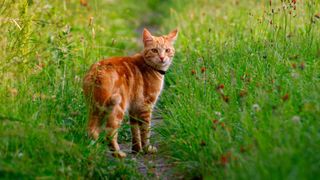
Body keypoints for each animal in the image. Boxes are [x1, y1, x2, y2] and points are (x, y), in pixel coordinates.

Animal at [82, 28, 178, 158]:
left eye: (167, 50)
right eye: (154, 50)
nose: (162, 58)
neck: (151, 67)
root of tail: (97, 72)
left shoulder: (134, 108)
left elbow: (135, 130)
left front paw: (136, 150)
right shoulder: (146, 106)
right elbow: (145, 131)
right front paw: (147, 148)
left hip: (95, 109)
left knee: (92, 130)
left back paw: (94, 152)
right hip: (118, 108)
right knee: (109, 133)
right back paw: (118, 154)